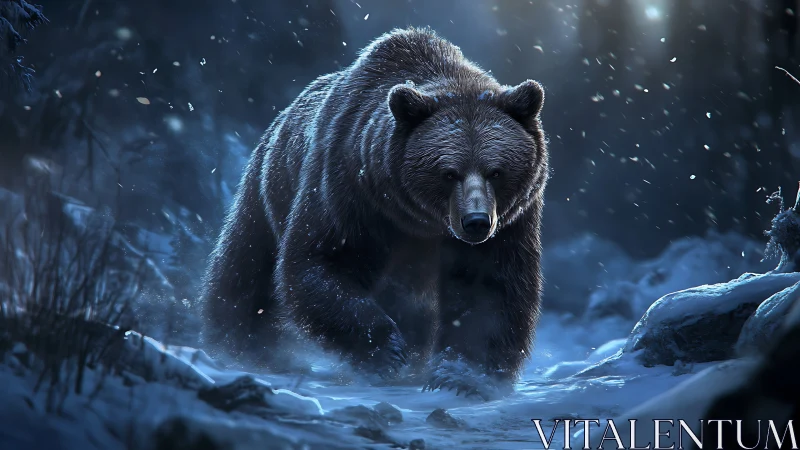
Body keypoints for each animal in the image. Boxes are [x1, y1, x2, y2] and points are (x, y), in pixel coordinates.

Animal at [201, 26, 549, 397]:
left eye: (495, 171)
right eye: (448, 172)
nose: (476, 222)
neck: (421, 221)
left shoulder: (511, 222)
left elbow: (488, 288)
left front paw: (462, 378)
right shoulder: (350, 190)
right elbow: (321, 261)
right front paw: (387, 352)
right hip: (268, 191)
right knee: (244, 271)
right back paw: (238, 346)